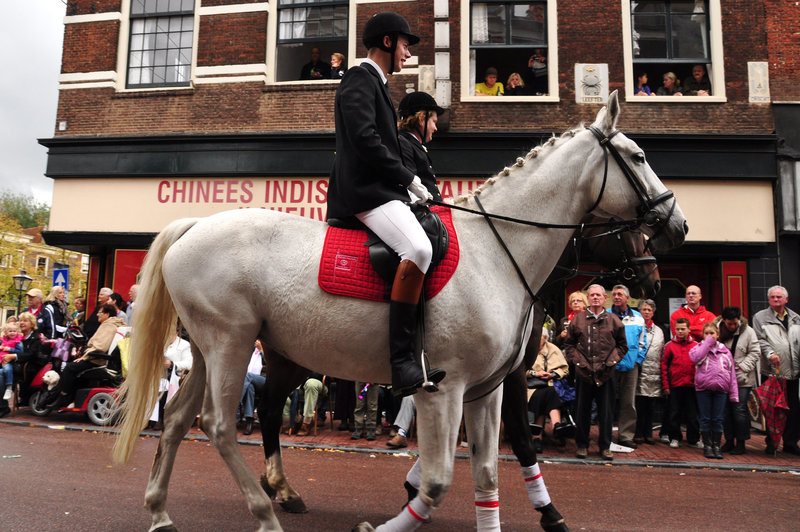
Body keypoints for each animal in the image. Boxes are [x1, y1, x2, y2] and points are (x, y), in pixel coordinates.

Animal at [112, 92, 688, 532]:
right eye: (638, 156)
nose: (676, 226)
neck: (497, 251)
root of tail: (197, 225)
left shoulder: (488, 388)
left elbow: (487, 473)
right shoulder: (445, 390)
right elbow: (437, 481)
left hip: (214, 351)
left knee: (181, 419)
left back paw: (162, 512)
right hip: (231, 344)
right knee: (219, 424)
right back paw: (265, 512)